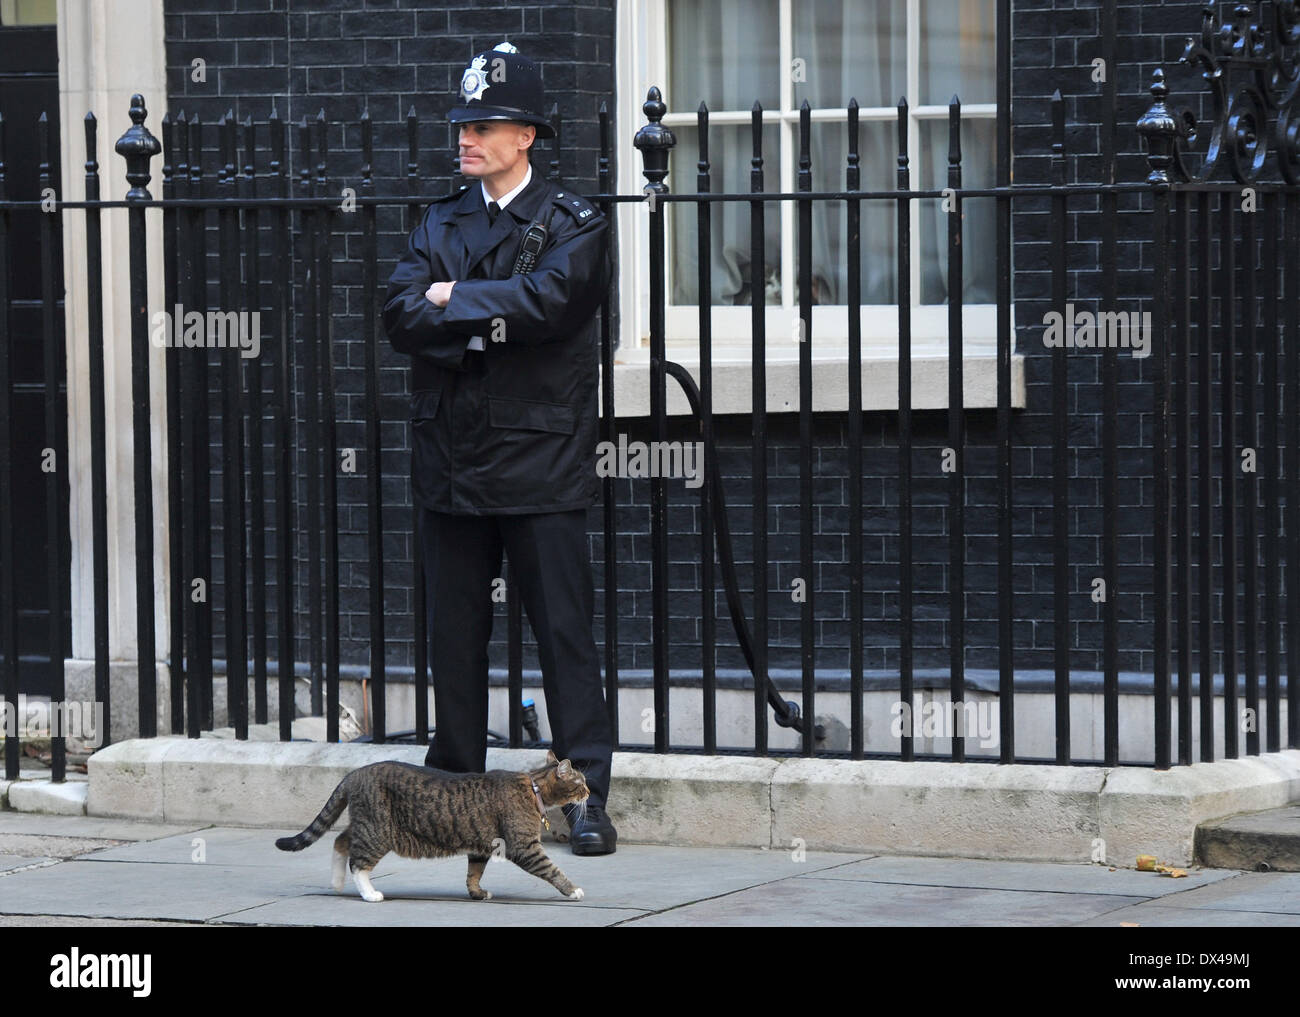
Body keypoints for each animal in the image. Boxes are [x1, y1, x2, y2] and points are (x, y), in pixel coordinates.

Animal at [282, 749, 595, 910]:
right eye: (580, 783)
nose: (590, 792)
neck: (533, 788)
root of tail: (354, 773)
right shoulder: (524, 847)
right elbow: (552, 869)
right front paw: (573, 890)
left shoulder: (481, 846)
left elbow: (473, 874)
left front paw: (477, 893)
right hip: (377, 830)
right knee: (358, 863)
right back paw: (369, 893)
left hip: (365, 823)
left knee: (340, 840)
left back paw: (336, 883)